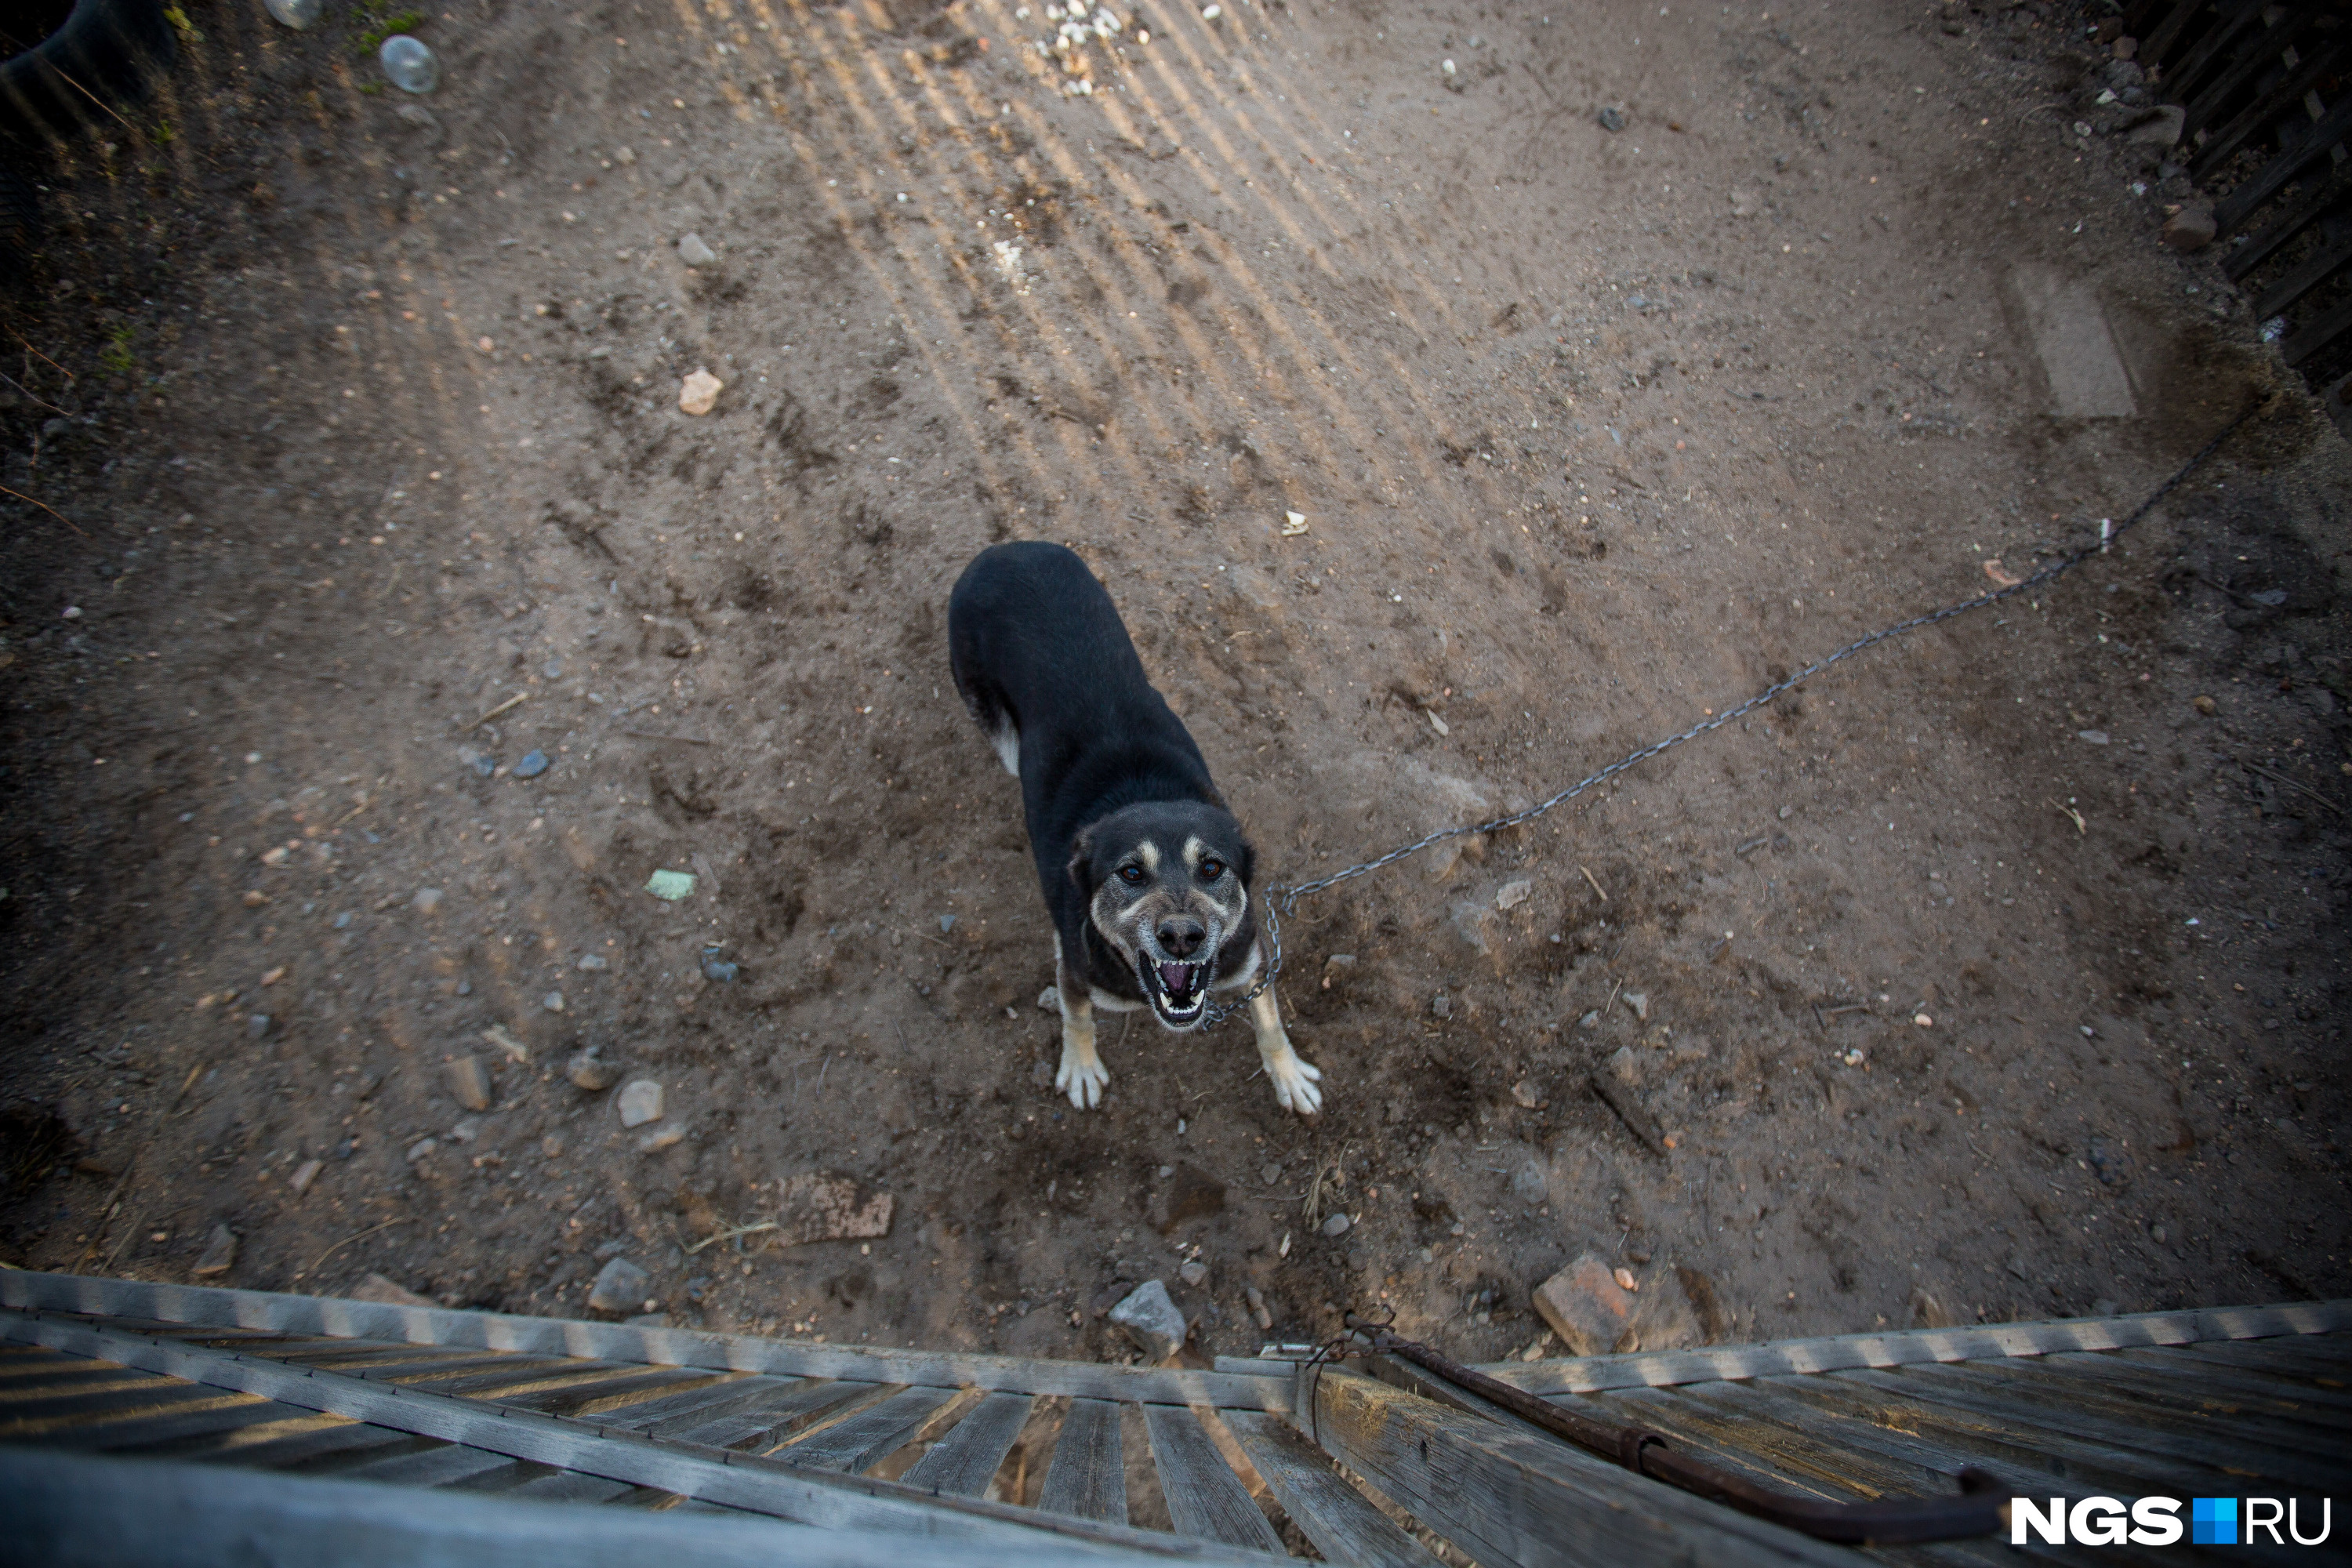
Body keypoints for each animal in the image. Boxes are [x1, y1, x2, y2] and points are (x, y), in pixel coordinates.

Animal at [950, 545, 1327, 1123]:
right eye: (1130, 873)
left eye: (1212, 868)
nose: (1182, 937)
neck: (1143, 790)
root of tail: (1006, 548)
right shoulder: (1075, 969)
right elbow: (1076, 1016)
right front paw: (1080, 1066)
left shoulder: (1251, 960)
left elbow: (1269, 1016)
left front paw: (1286, 1071)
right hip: (984, 705)